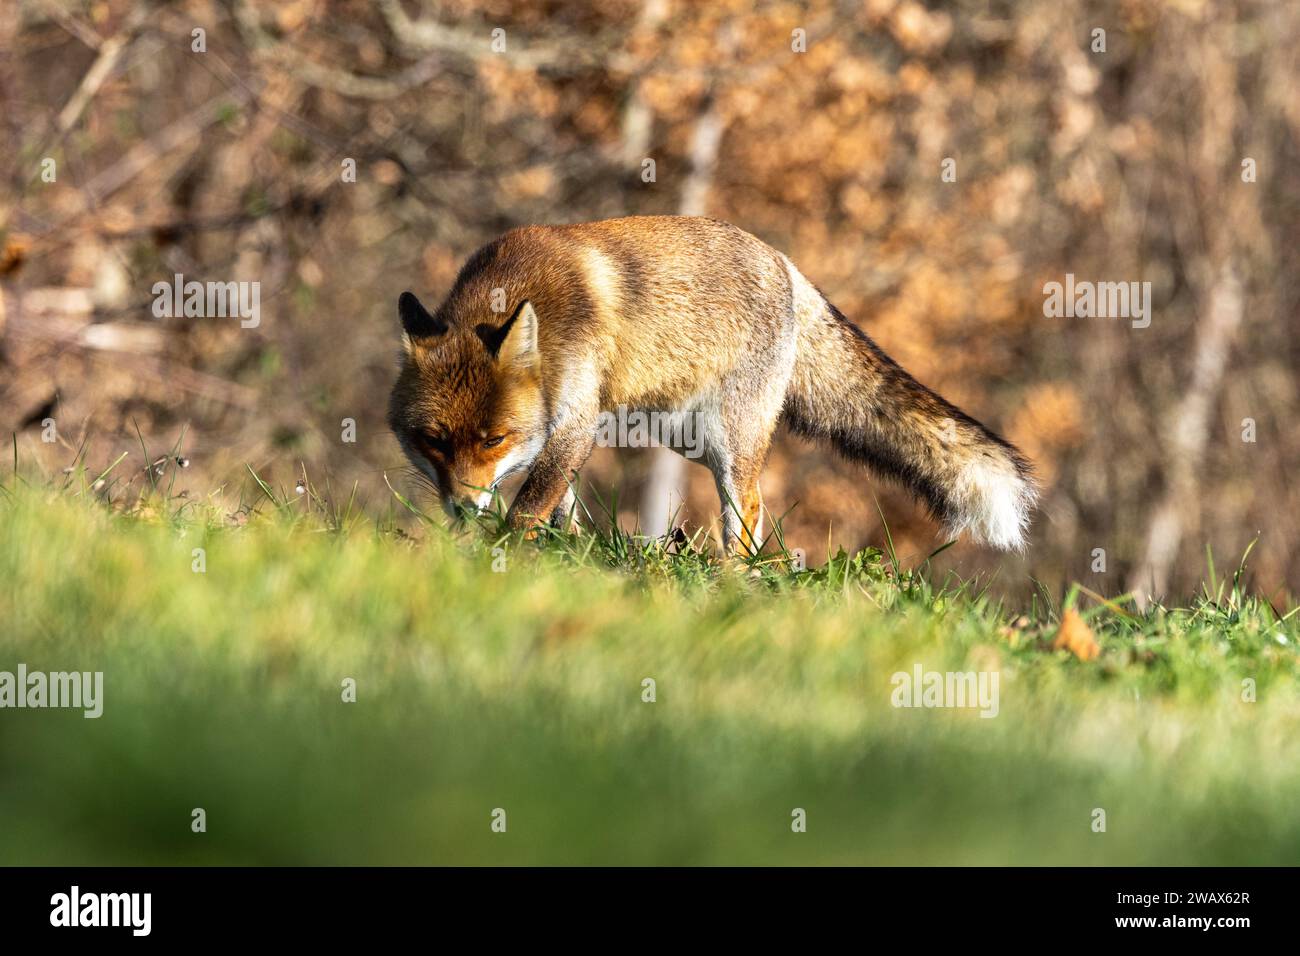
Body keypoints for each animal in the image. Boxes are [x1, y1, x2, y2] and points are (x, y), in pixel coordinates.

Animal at [384, 213, 1034, 548]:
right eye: (434, 441)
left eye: (493, 440)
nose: (463, 510)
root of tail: (786, 265)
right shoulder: (565, 432)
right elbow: (558, 504)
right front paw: (558, 552)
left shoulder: (575, 421)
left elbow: (529, 505)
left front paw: (504, 556)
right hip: (682, 434)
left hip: (728, 441)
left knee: (747, 509)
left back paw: (733, 582)